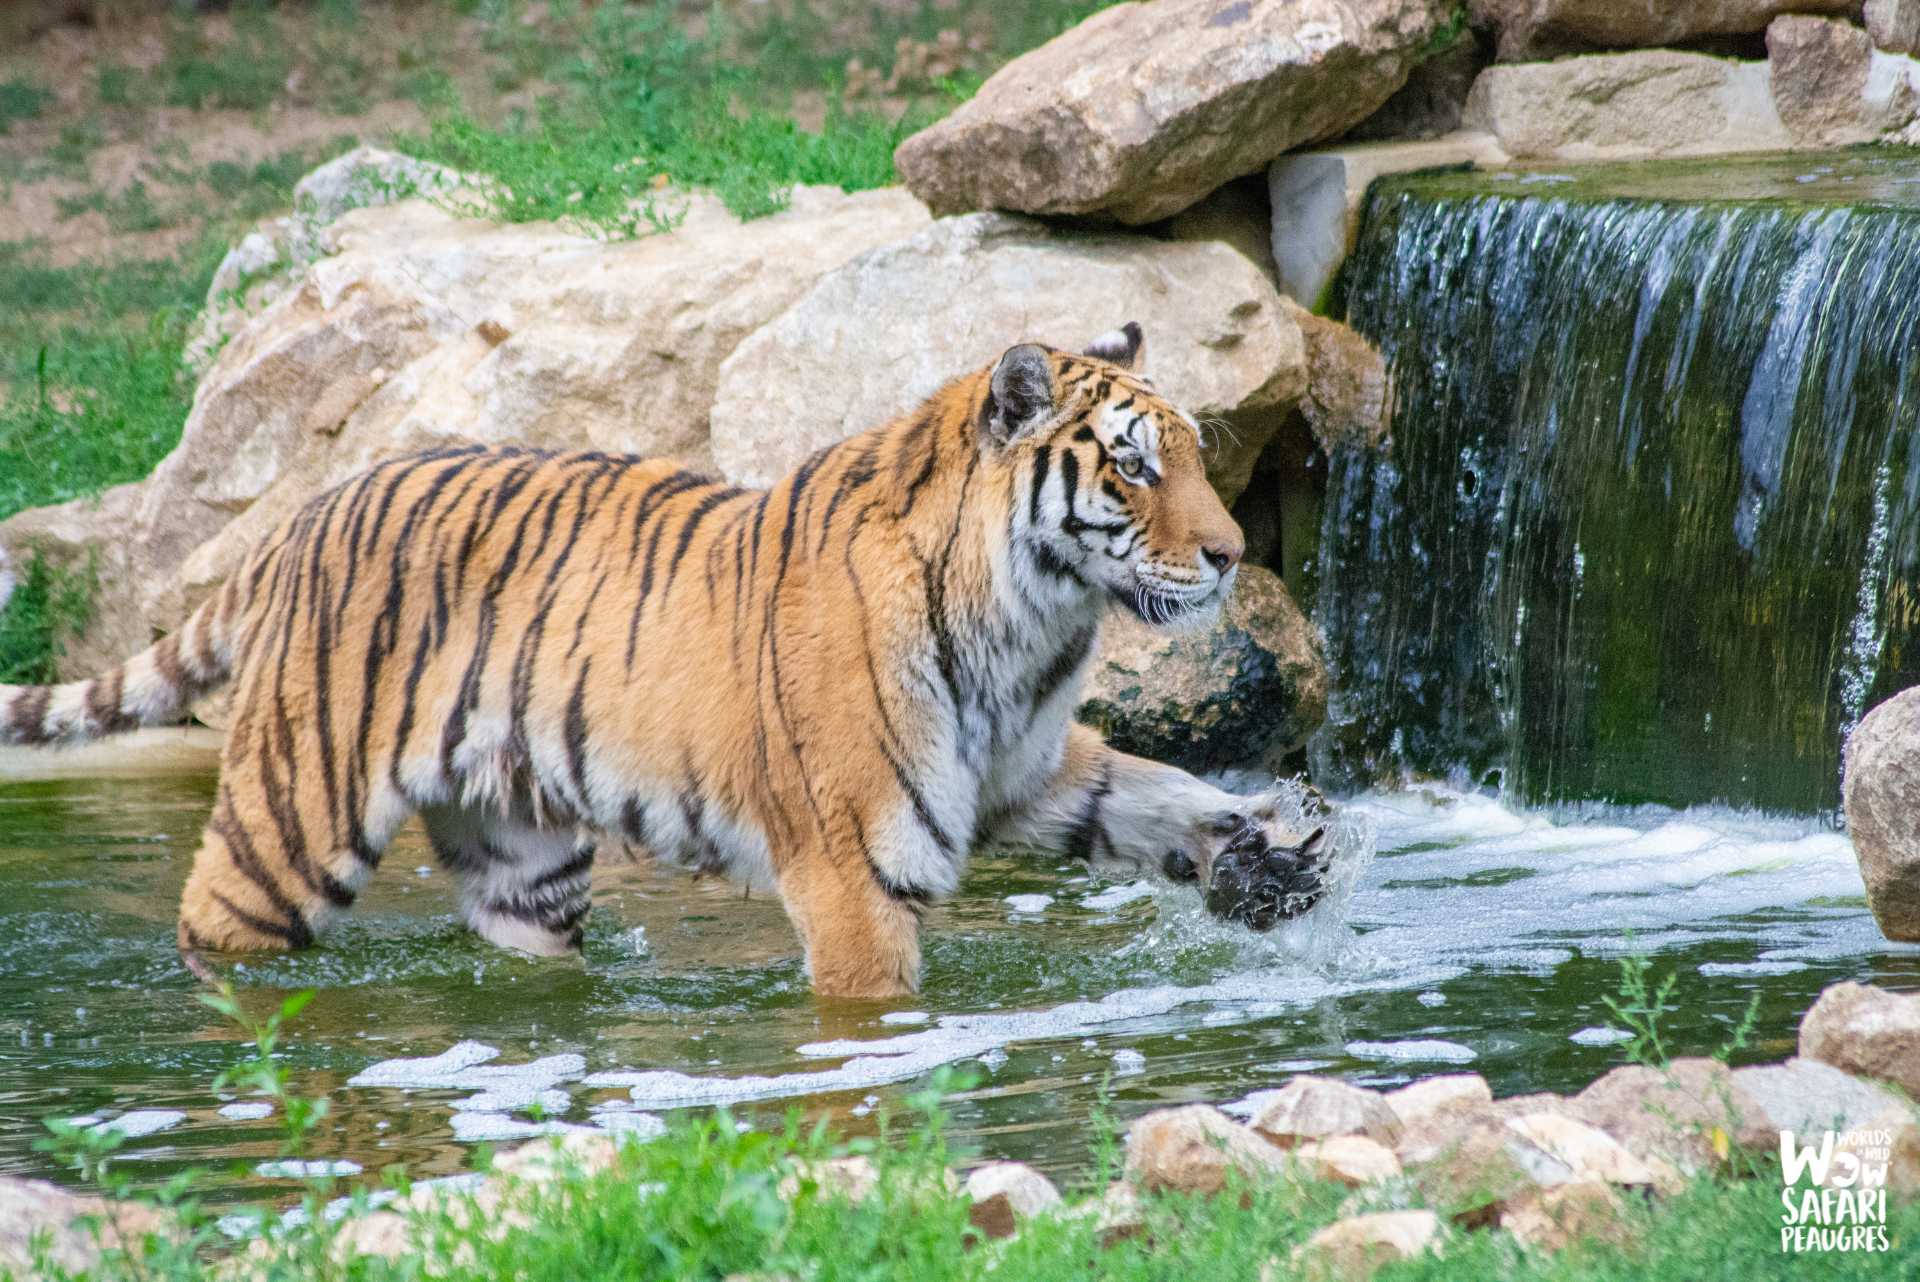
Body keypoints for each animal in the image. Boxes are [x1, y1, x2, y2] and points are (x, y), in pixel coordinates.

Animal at [3, 322, 1336, 997]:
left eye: (1196, 454)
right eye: (1133, 467)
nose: (1230, 556)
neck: (1032, 622)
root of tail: (303, 513)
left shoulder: (1025, 768)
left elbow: (1156, 792)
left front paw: (1265, 852)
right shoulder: (854, 873)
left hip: (527, 865)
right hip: (293, 821)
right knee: (214, 923)